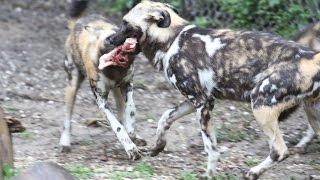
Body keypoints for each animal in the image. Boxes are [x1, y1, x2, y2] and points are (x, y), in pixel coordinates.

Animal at [59, 0, 146, 160]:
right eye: (108, 41)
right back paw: (65, 142)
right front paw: (130, 148)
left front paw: (131, 133)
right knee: (67, 118)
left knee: (122, 113)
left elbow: (131, 109)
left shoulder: (127, 85)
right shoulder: (101, 101)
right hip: (72, 86)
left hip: (117, 91)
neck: (115, 69)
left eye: (123, 31)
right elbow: (117, 126)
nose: (117, 40)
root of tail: (77, 23)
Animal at [107, 0, 320, 179]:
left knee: (279, 151)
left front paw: (209, 174)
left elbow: (211, 148)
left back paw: (253, 172)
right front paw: (157, 147)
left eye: (125, 23)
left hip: (261, 106)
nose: (109, 39)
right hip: (311, 112)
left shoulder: (203, 104)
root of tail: (312, 57)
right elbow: (165, 117)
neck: (171, 40)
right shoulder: (195, 101)